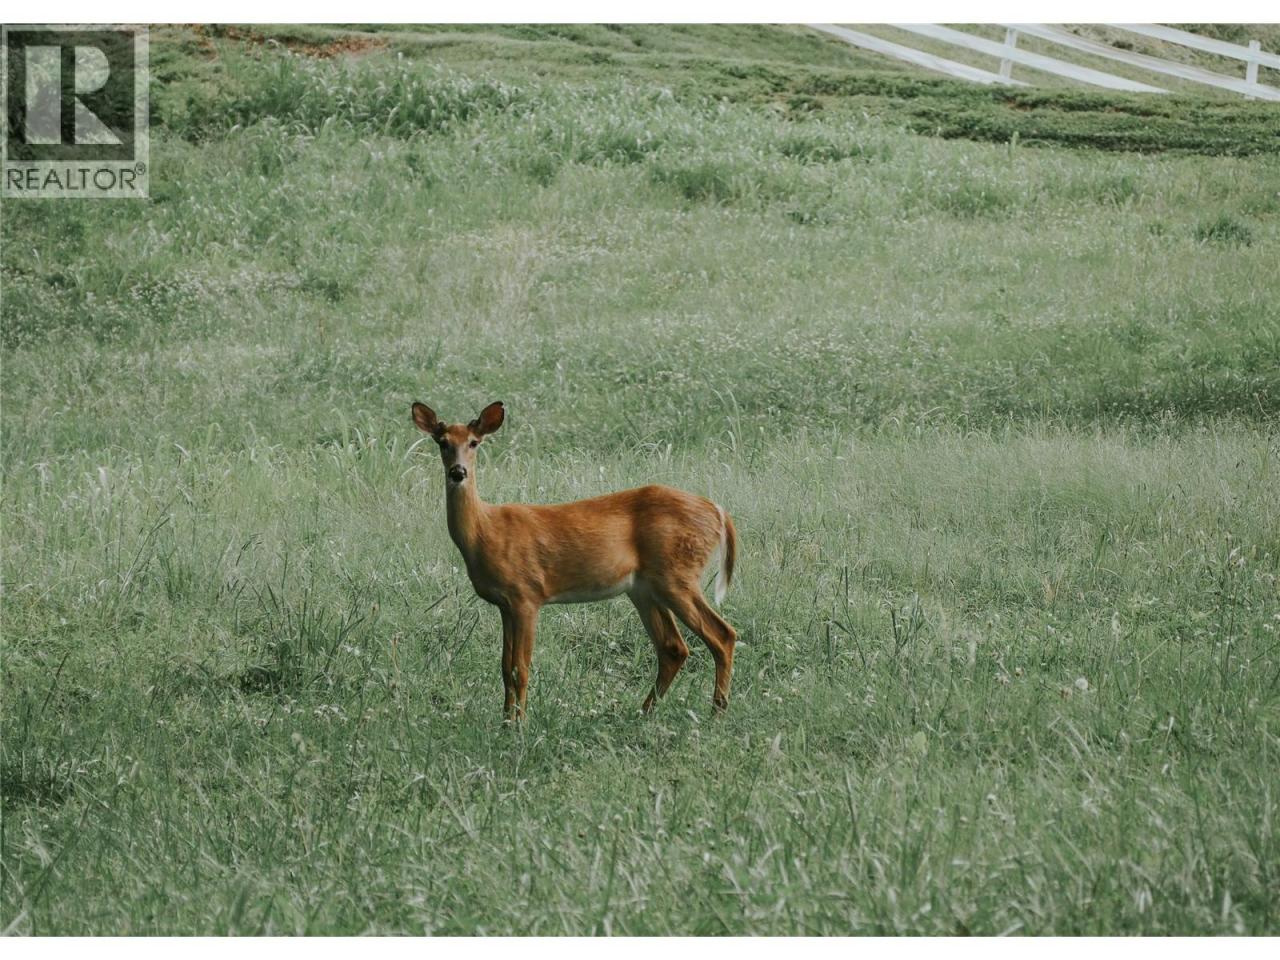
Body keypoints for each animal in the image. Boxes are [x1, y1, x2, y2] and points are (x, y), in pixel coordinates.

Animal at [411, 400, 739, 720]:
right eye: (442, 442)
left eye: (474, 442)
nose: (458, 472)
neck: (485, 531)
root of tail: (719, 512)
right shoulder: (505, 604)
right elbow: (505, 668)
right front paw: (504, 722)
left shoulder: (527, 595)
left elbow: (521, 669)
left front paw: (519, 725)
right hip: (644, 588)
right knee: (673, 648)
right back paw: (642, 713)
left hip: (677, 574)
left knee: (722, 634)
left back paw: (716, 713)